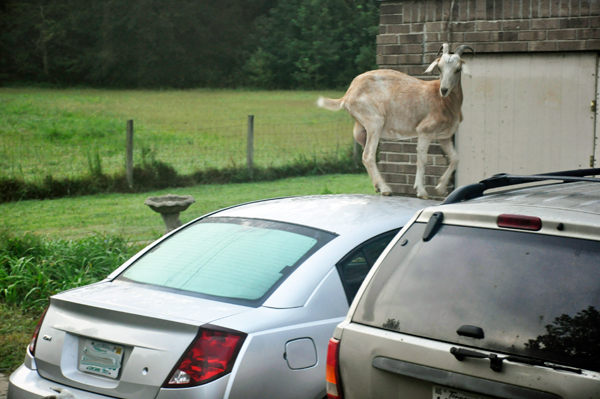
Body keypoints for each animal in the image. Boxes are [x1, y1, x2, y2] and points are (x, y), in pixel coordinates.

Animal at [318, 43, 474, 200]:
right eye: (439, 68)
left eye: (457, 69)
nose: (444, 89)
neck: (444, 102)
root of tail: (347, 95)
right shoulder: (425, 131)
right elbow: (422, 159)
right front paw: (422, 192)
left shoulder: (444, 137)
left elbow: (455, 158)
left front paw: (440, 188)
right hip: (374, 123)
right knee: (368, 156)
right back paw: (385, 189)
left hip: (362, 129)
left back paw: (378, 186)